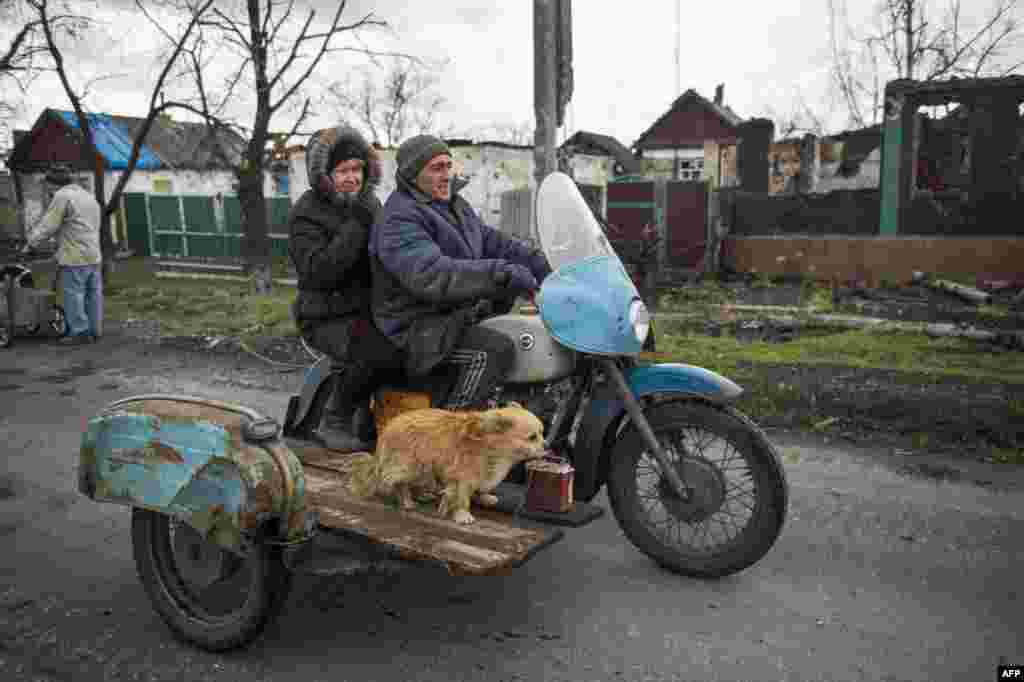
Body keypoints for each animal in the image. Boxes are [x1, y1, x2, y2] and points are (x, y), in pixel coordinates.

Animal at [350, 401, 548, 522]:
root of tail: (386, 430)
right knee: (400, 484)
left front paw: (485, 497)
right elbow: (462, 497)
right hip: (413, 466)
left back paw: (422, 495)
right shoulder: (461, 477)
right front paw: (462, 514)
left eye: (542, 433)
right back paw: (407, 502)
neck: (492, 447)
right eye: (532, 437)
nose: (547, 445)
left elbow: (479, 488)